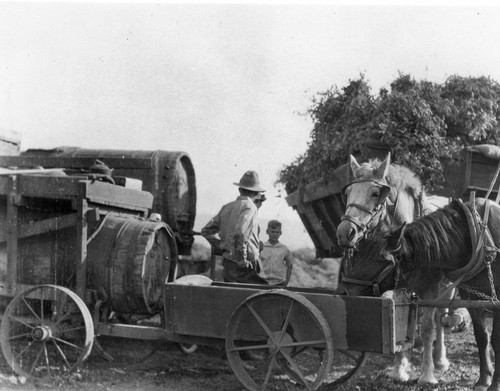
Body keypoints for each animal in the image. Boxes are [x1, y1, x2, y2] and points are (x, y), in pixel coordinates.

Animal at [338, 199, 500, 391]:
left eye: (380, 259)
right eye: (359, 255)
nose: (343, 291)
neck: (477, 238)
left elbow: (496, 340)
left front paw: (495, 383)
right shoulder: (471, 297)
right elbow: (482, 337)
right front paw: (484, 380)